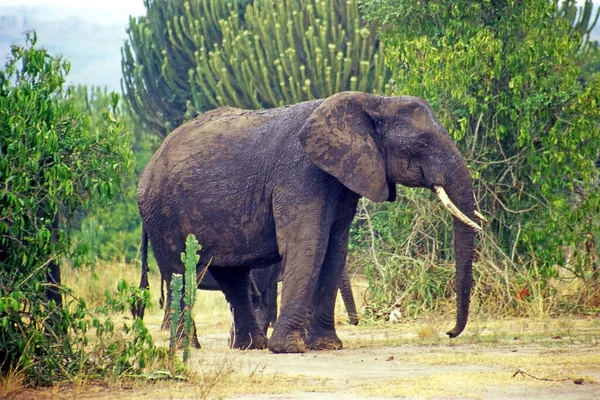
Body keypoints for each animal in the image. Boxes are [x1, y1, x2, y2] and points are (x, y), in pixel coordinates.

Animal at [135, 91, 478, 354]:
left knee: (233, 278)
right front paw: (289, 349)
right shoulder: (300, 174)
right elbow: (307, 245)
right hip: (162, 213)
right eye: (420, 144)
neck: (374, 101)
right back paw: (187, 348)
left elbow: (334, 250)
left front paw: (328, 346)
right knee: (181, 271)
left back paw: (250, 346)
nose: (449, 332)